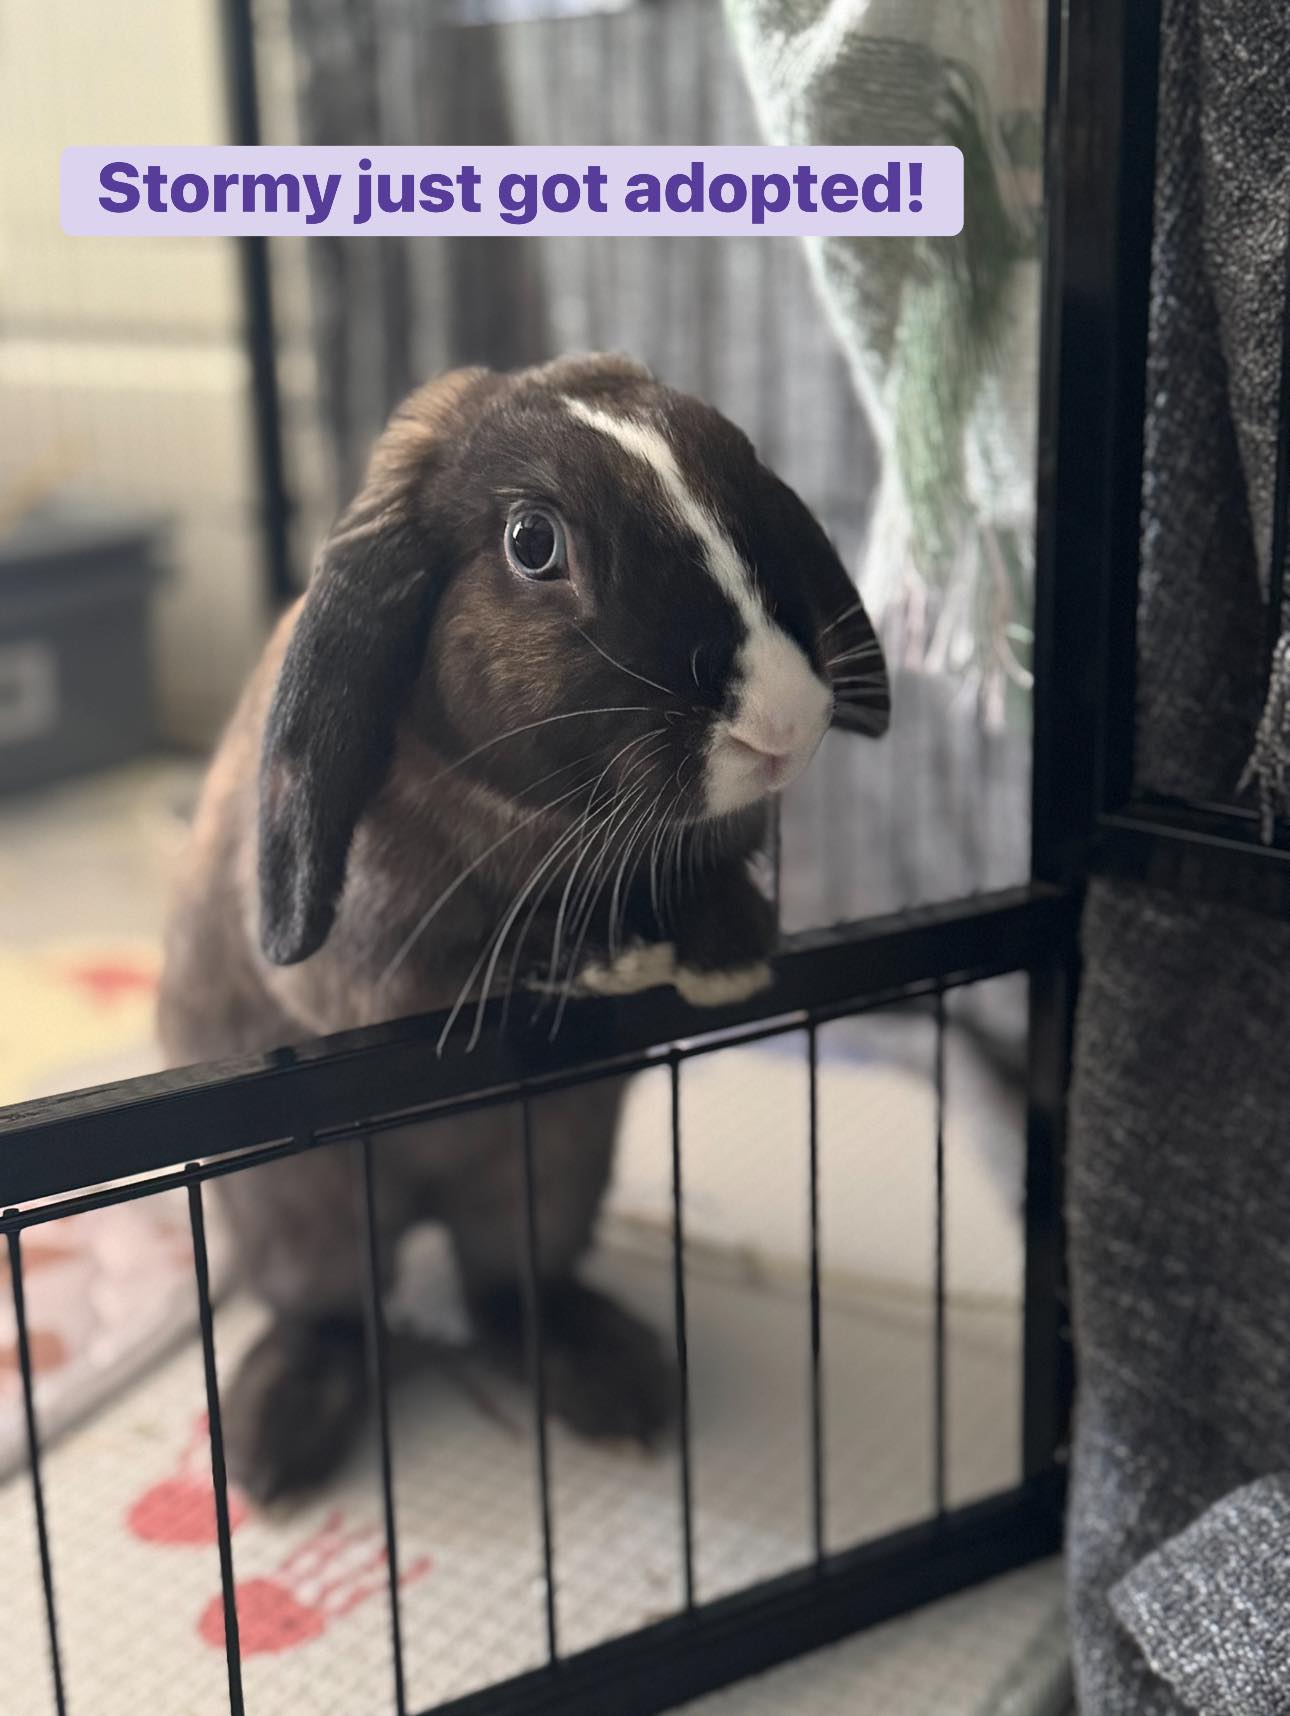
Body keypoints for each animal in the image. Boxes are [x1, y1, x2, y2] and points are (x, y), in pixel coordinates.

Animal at [157, 352, 889, 1502]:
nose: (781, 723)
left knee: (510, 1292)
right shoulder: (368, 959)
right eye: (533, 543)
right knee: (332, 1310)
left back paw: (615, 1388)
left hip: (550, 1179)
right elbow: (453, 962)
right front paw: (598, 954)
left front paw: (726, 951)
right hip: (298, 1208)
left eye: (746, 483)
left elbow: (717, 889)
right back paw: (275, 1447)